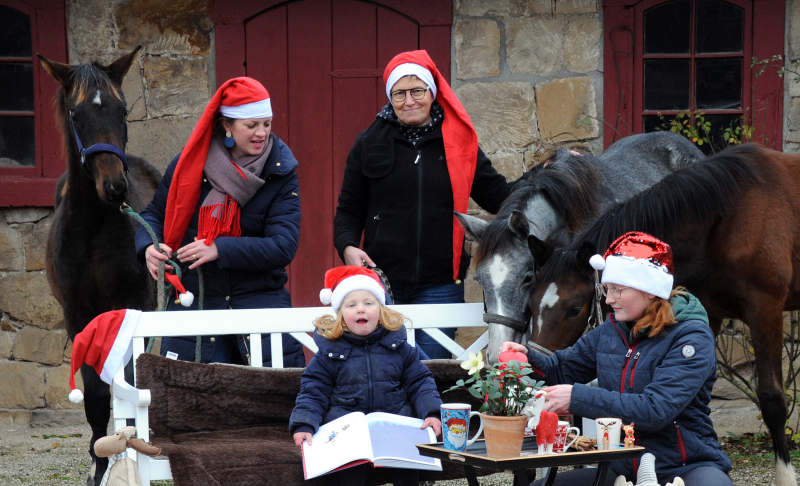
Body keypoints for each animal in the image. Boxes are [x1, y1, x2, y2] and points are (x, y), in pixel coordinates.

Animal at [39, 46, 161, 486]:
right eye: (77, 116)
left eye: (123, 110)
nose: (115, 187)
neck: (92, 230)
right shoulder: (78, 316)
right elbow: (93, 395)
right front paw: (101, 464)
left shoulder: (133, 307)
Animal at [528, 144, 796, 486]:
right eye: (531, 302)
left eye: (574, 309)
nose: (532, 378)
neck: (728, 217)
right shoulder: (710, 314)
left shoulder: (766, 308)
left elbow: (772, 399)